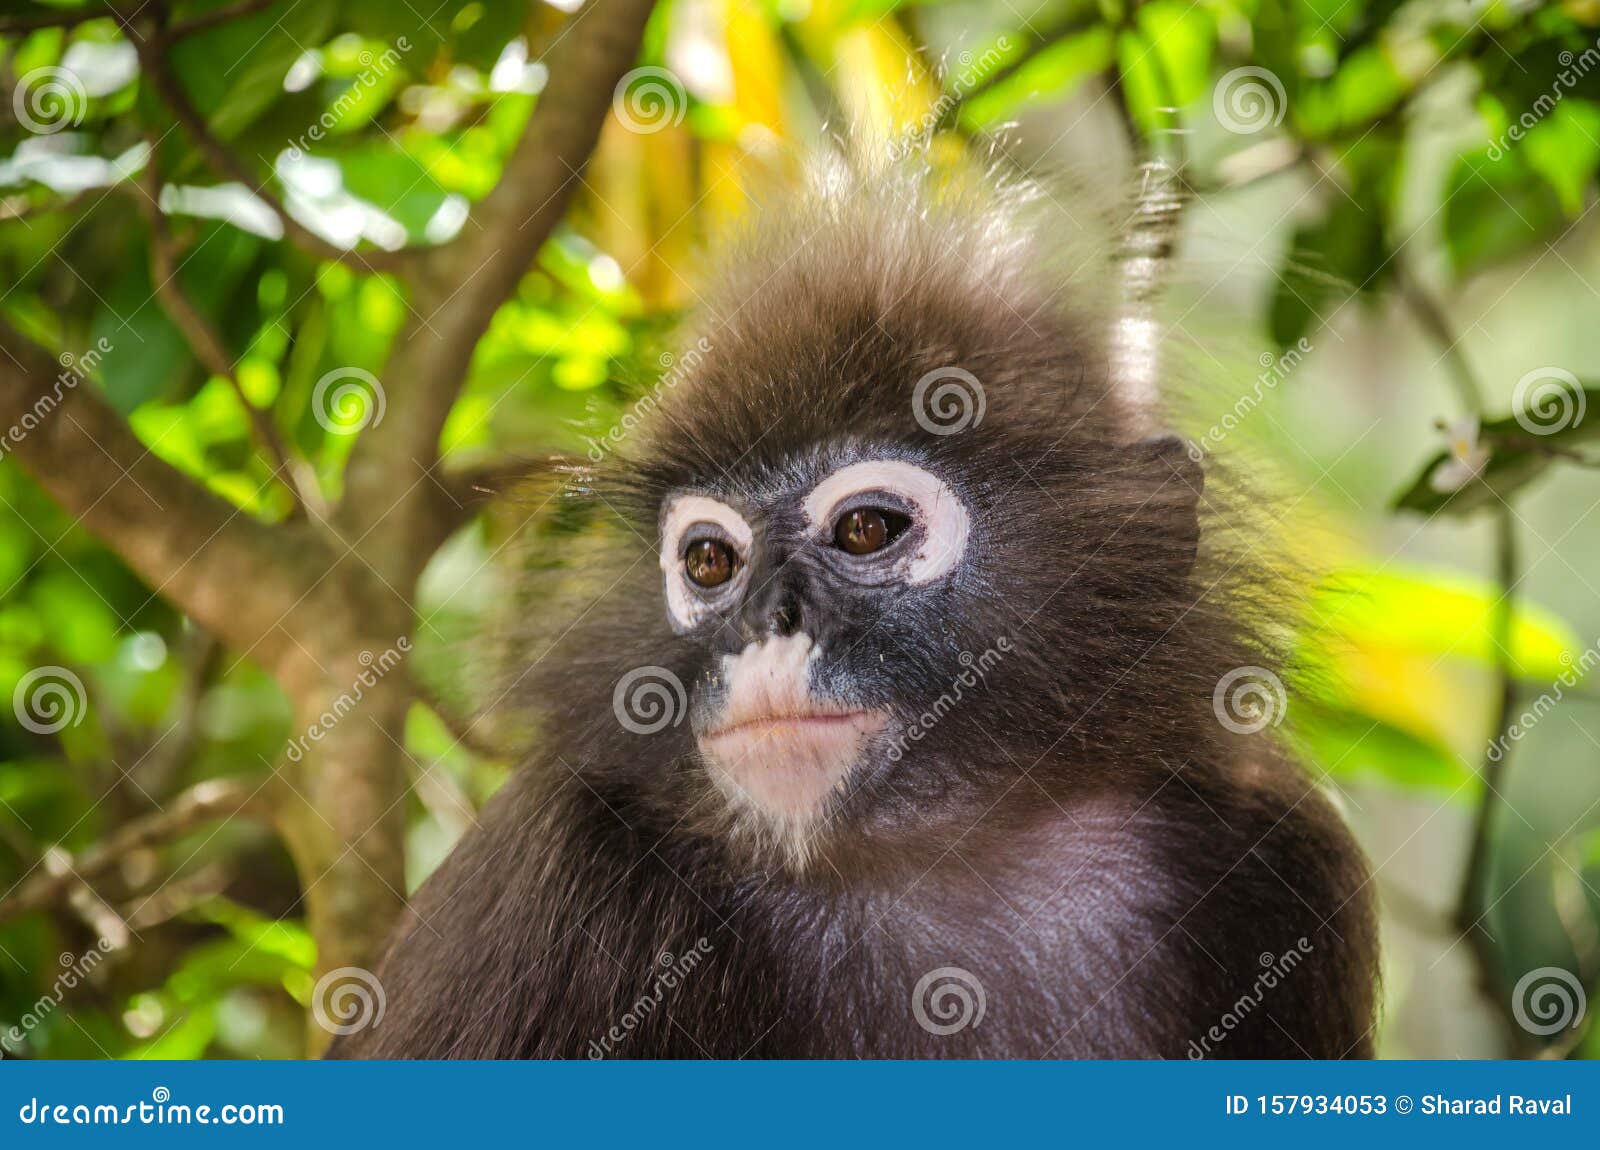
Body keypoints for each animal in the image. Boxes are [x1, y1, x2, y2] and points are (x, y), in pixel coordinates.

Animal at [329, 156, 1379, 1060]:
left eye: (867, 530)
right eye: (709, 560)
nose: (763, 623)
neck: (931, 857)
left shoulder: (1276, 848)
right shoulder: (556, 863)